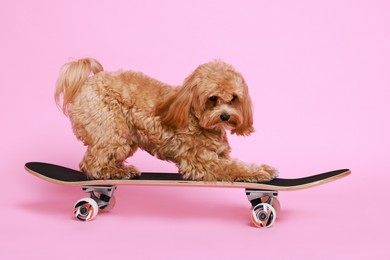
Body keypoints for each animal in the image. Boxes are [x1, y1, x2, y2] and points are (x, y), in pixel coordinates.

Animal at [54, 58, 278, 183]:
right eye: (212, 98)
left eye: (234, 98)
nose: (225, 116)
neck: (192, 114)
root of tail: (88, 82)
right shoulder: (203, 162)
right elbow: (233, 167)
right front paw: (259, 173)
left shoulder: (219, 154)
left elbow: (238, 163)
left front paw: (264, 168)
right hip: (112, 131)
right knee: (92, 164)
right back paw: (113, 172)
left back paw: (122, 169)